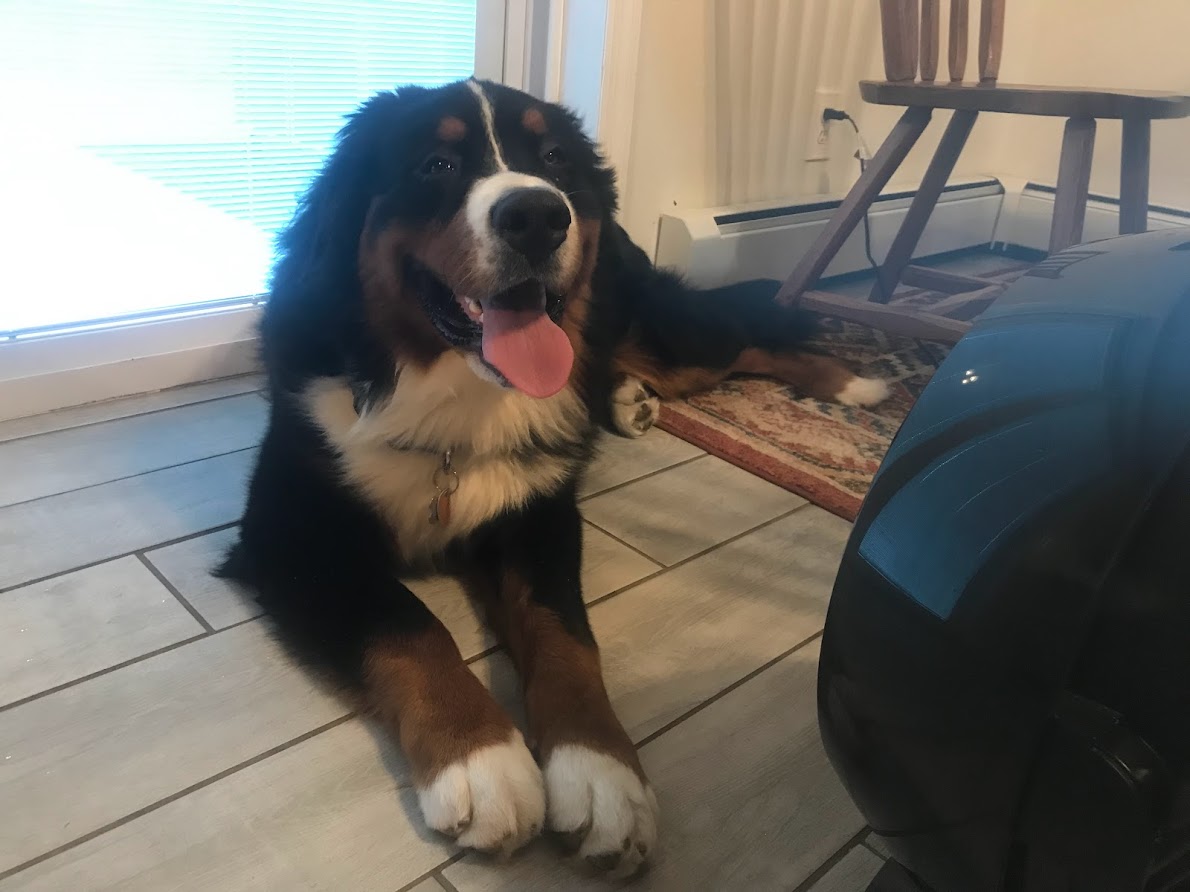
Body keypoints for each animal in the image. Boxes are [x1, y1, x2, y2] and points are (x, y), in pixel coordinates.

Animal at [221, 78, 885, 880]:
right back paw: (637, 399)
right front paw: (482, 760)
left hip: (659, 330)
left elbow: (564, 634)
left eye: (556, 159)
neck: (452, 398)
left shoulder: (540, 515)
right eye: (437, 164)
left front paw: (601, 776)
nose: (537, 215)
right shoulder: (295, 530)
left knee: (746, 339)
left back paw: (850, 385)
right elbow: (410, 626)